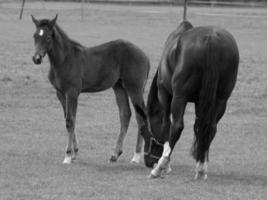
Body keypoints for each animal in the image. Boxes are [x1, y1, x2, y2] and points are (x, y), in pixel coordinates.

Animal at [31, 15, 151, 165]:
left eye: (48, 37)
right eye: (35, 36)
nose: (36, 58)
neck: (64, 60)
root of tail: (145, 56)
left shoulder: (72, 92)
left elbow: (70, 120)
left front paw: (68, 156)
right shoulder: (60, 94)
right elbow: (68, 119)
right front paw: (74, 153)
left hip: (134, 89)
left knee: (140, 116)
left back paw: (136, 156)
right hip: (119, 87)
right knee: (125, 114)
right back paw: (115, 154)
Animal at [136, 19, 241, 180]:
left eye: (146, 131)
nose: (148, 161)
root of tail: (212, 39)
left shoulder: (165, 94)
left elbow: (166, 125)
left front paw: (166, 165)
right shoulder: (200, 102)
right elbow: (198, 127)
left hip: (180, 97)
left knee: (177, 126)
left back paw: (159, 168)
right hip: (221, 99)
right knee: (211, 127)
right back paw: (201, 168)